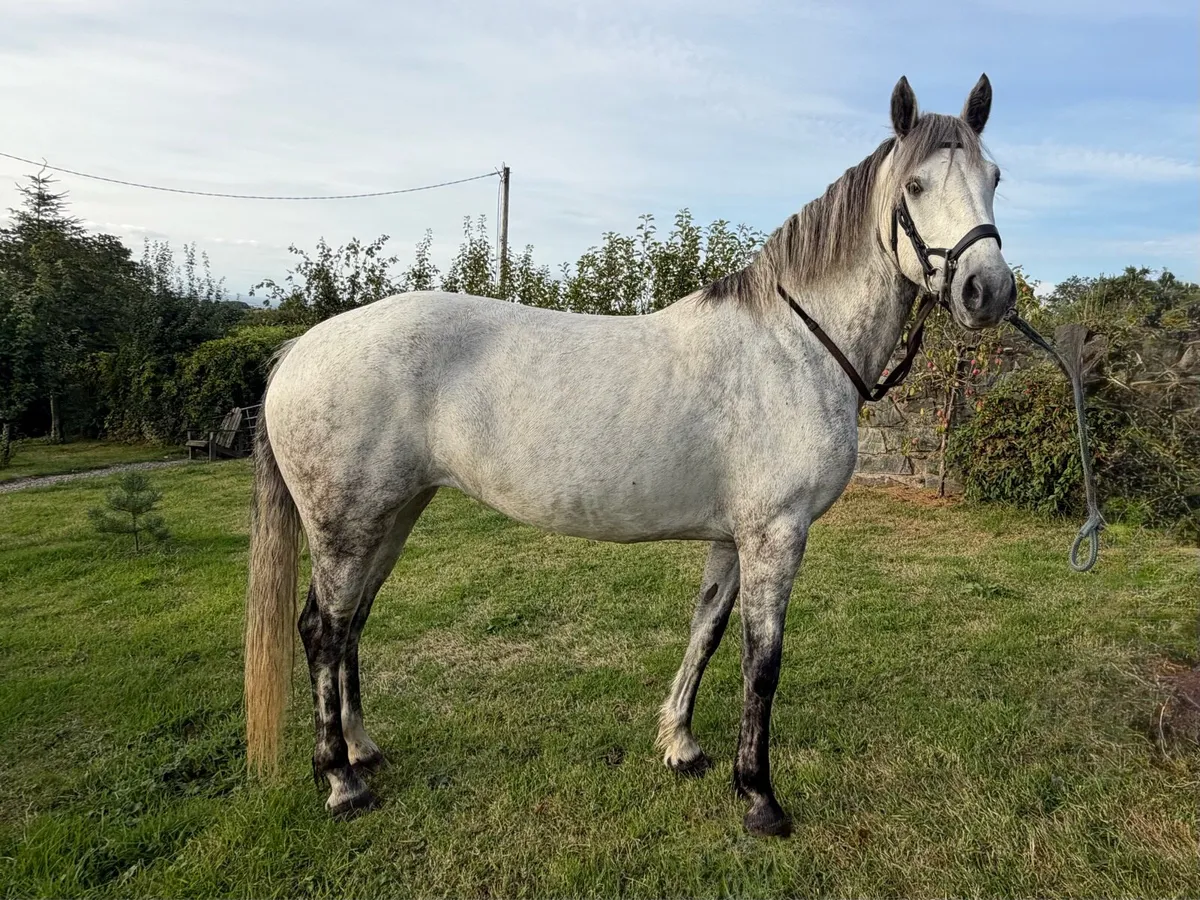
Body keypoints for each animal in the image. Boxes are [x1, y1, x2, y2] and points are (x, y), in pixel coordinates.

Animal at [244, 73, 1015, 838]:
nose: (990, 290)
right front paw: (760, 797)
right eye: (915, 184)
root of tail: (299, 349)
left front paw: (681, 744)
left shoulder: (733, 538)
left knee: (351, 625)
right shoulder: (777, 534)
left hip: (394, 515)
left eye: (995, 177)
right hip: (346, 528)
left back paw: (361, 749)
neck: (794, 344)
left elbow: (706, 631)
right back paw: (340, 780)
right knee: (321, 629)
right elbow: (761, 663)